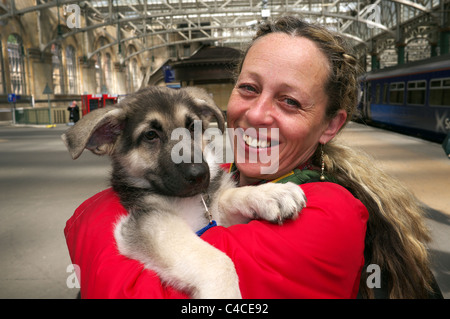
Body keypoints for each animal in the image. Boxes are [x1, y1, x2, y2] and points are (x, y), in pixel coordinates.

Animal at [62, 86, 306, 298]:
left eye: (192, 127)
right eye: (150, 135)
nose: (200, 174)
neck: (187, 200)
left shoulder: (214, 214)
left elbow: (230, 196)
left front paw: (273, 193)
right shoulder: (149, 224)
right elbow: (219, 262)